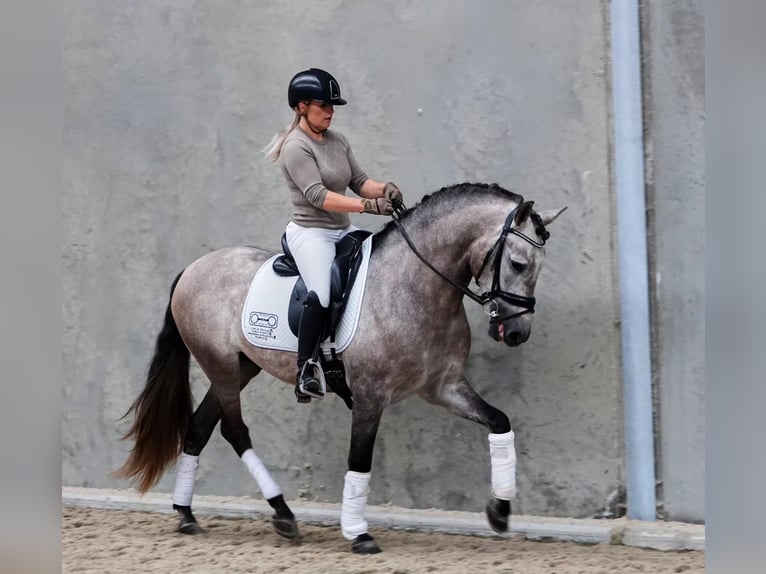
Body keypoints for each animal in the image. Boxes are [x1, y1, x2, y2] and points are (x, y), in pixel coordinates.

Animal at [115, 182, 566, 554]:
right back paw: (283, 515)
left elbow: (499, 422)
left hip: (241, 367)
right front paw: (358, 533)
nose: (516, 333)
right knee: (234, 429)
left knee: (200, 427)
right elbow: (359, 460)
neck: (415, 286)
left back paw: (187, 514)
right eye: (519, 263)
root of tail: (193, 268)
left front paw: (500, 511)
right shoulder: (370, 396)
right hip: (221, 365)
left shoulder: (444, 387)